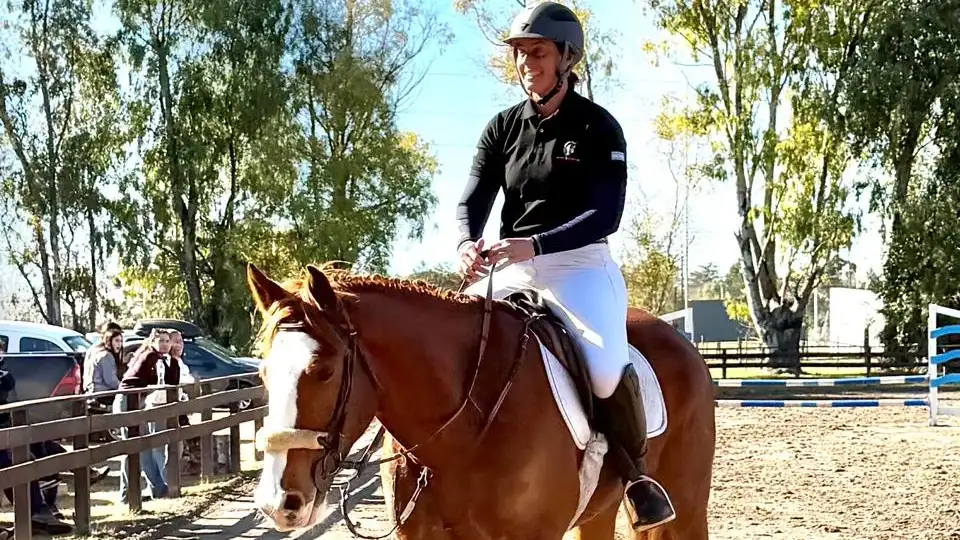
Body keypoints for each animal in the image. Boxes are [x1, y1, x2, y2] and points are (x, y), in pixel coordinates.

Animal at [247, 262, 716, 539]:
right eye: (263, 374)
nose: (278, 504)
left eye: (323, 370)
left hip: (689, 506)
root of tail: (681, 341)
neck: (460, 434)